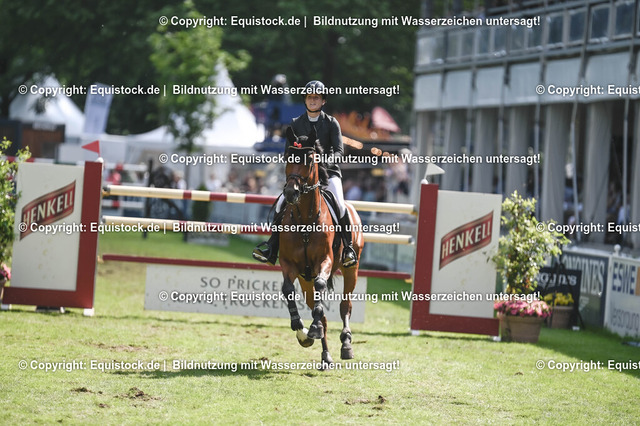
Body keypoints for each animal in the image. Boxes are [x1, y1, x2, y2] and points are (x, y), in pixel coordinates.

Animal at [278, 126, 364, 367]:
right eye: (288, 158)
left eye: (309, 160)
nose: (291, 193)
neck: (305, 219)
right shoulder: (289, 264)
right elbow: (288, 290)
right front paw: (301, 331)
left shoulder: (324, 261)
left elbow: (321, 284)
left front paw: (312, 329)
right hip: (305, 280)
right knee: (321, 311)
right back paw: (325, 355)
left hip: (351, 269)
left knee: (345, 306)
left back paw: (346, 345)